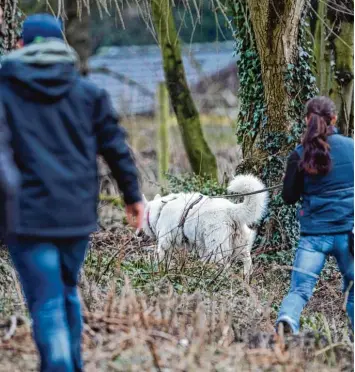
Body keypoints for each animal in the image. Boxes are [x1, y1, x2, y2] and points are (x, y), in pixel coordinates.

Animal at [142, 174, 270, 280]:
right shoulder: (200, 248)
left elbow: (160, 258)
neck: (160, 210)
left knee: (223, 266)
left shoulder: (165, 242)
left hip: (217, 248)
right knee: (247, 262)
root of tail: (231, 209)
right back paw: (245, 279)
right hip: (240, 246)